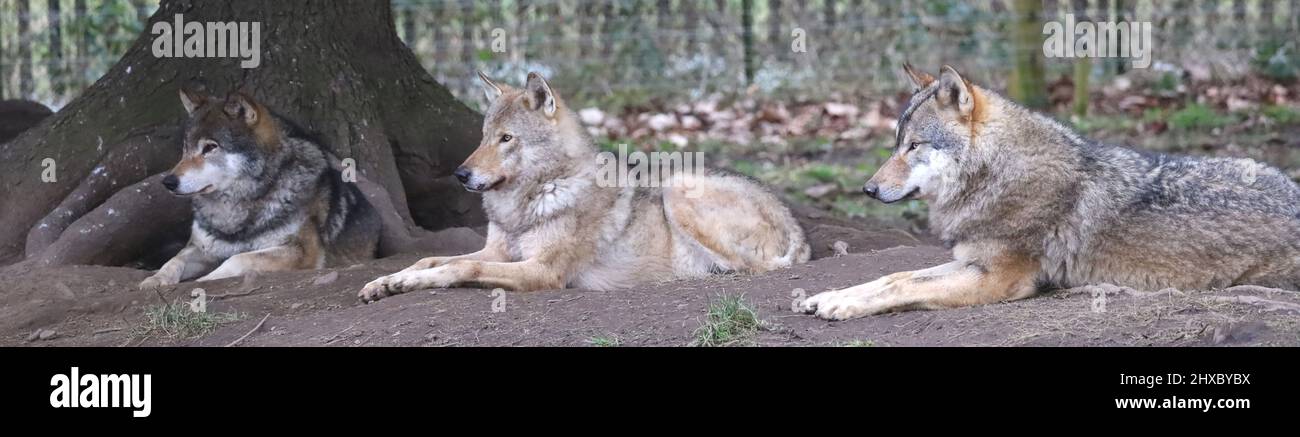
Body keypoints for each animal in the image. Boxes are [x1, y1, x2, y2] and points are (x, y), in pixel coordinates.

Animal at [138, 87, 379, 290]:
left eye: (210, 147)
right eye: (185, 148)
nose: (168, 182)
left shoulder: (301, 252)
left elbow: (238, 258)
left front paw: (204, 280)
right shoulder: (201, 248)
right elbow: (173, 260)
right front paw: (154, 280)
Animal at [356, 72, 811, 304]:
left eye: (507, 139)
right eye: (483, 137)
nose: (461, 175)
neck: (529, 202)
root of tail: (799, 227)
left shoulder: (541, 270)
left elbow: (463, 268)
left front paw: (406, 284)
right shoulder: (498, 252)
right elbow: (429, 259)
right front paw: (386, 282)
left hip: (678, 189)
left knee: (747, 268)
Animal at [795, 62, 1294, 321]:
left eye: (914, 146)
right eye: (896, 143)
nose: (868, 189)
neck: (997, 175)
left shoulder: (996, 279)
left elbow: (902, 285)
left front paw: (842, 305)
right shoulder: (970, 261)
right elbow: (894, 276)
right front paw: (829, 295)